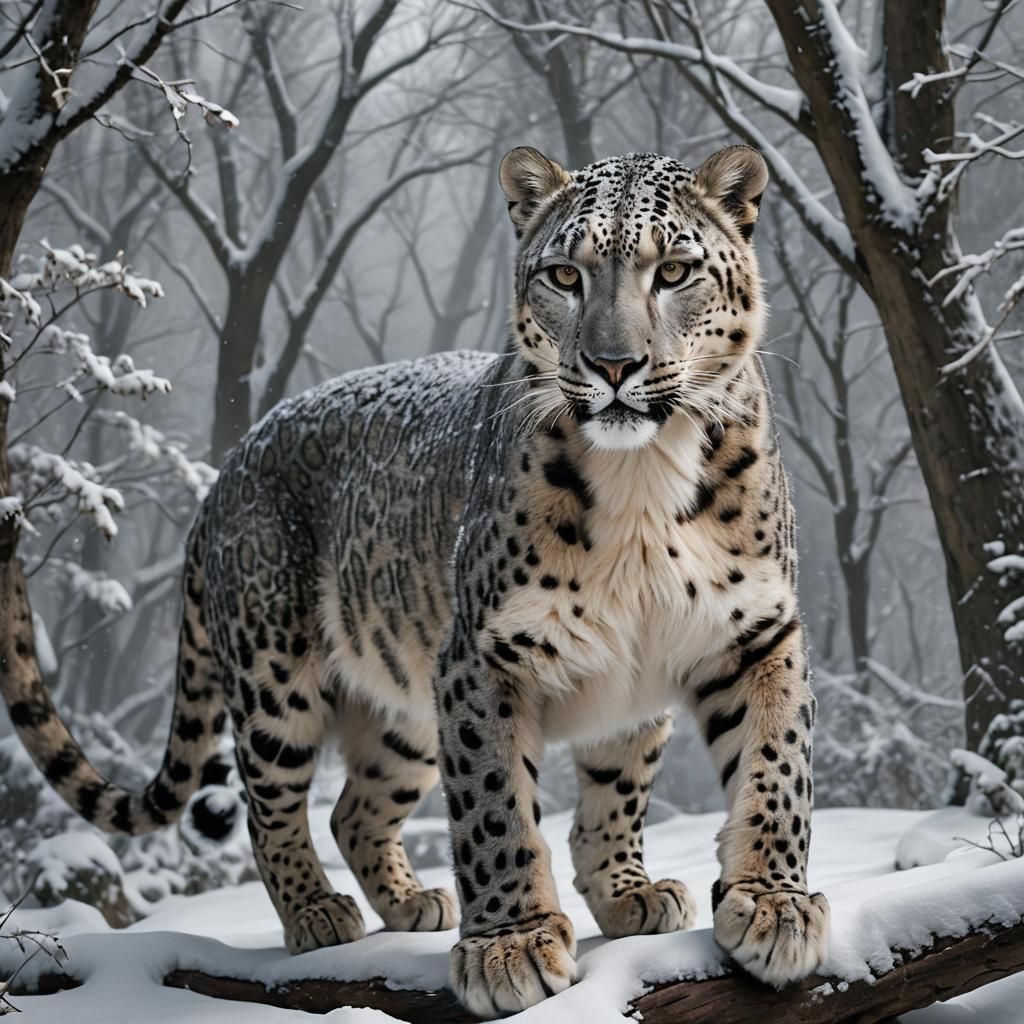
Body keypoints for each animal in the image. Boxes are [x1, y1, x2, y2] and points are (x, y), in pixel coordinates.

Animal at [2, 144, 830, 1017]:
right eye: (564, 275)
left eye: (674, 271)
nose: (613, 364)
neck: (642, 481)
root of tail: (230, 464)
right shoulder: (486, 656)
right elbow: (497, 806)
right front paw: (511, 948)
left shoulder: (753, 632)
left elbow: (765, 768)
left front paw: (756, 903)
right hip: (274, 672)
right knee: (272, 803)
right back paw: (318, 912)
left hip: (404, 711)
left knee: (355, 809)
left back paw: (411, 902)